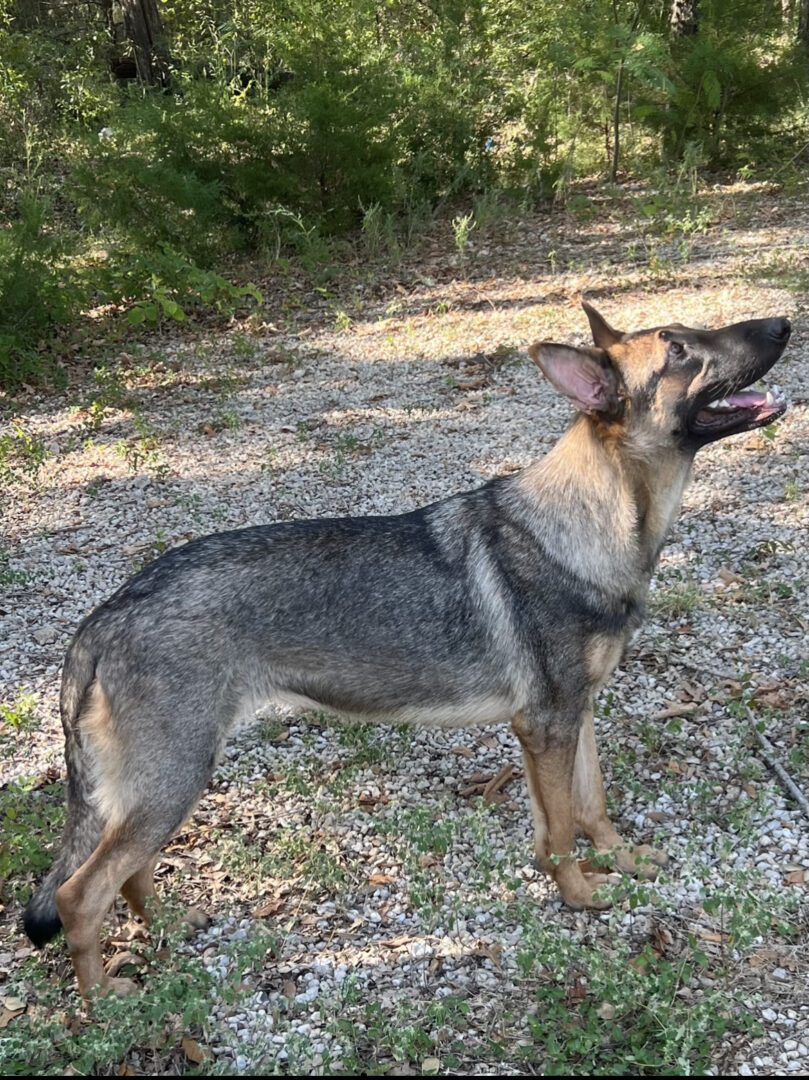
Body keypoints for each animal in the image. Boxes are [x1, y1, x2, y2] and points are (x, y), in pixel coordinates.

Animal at [23, 302, 790, 993]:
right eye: (679, 351)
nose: (783, 323)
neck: (594, 522)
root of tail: (106, 615)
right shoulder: (545, 727)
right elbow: (563, 831)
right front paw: (578, 897)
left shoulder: (575, 718)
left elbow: (589, 809)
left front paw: (620, 863)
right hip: (174, 778)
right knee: (78, 895)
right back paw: (104, 1003)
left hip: (159, 789)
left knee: (130, 874)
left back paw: (169, 933)